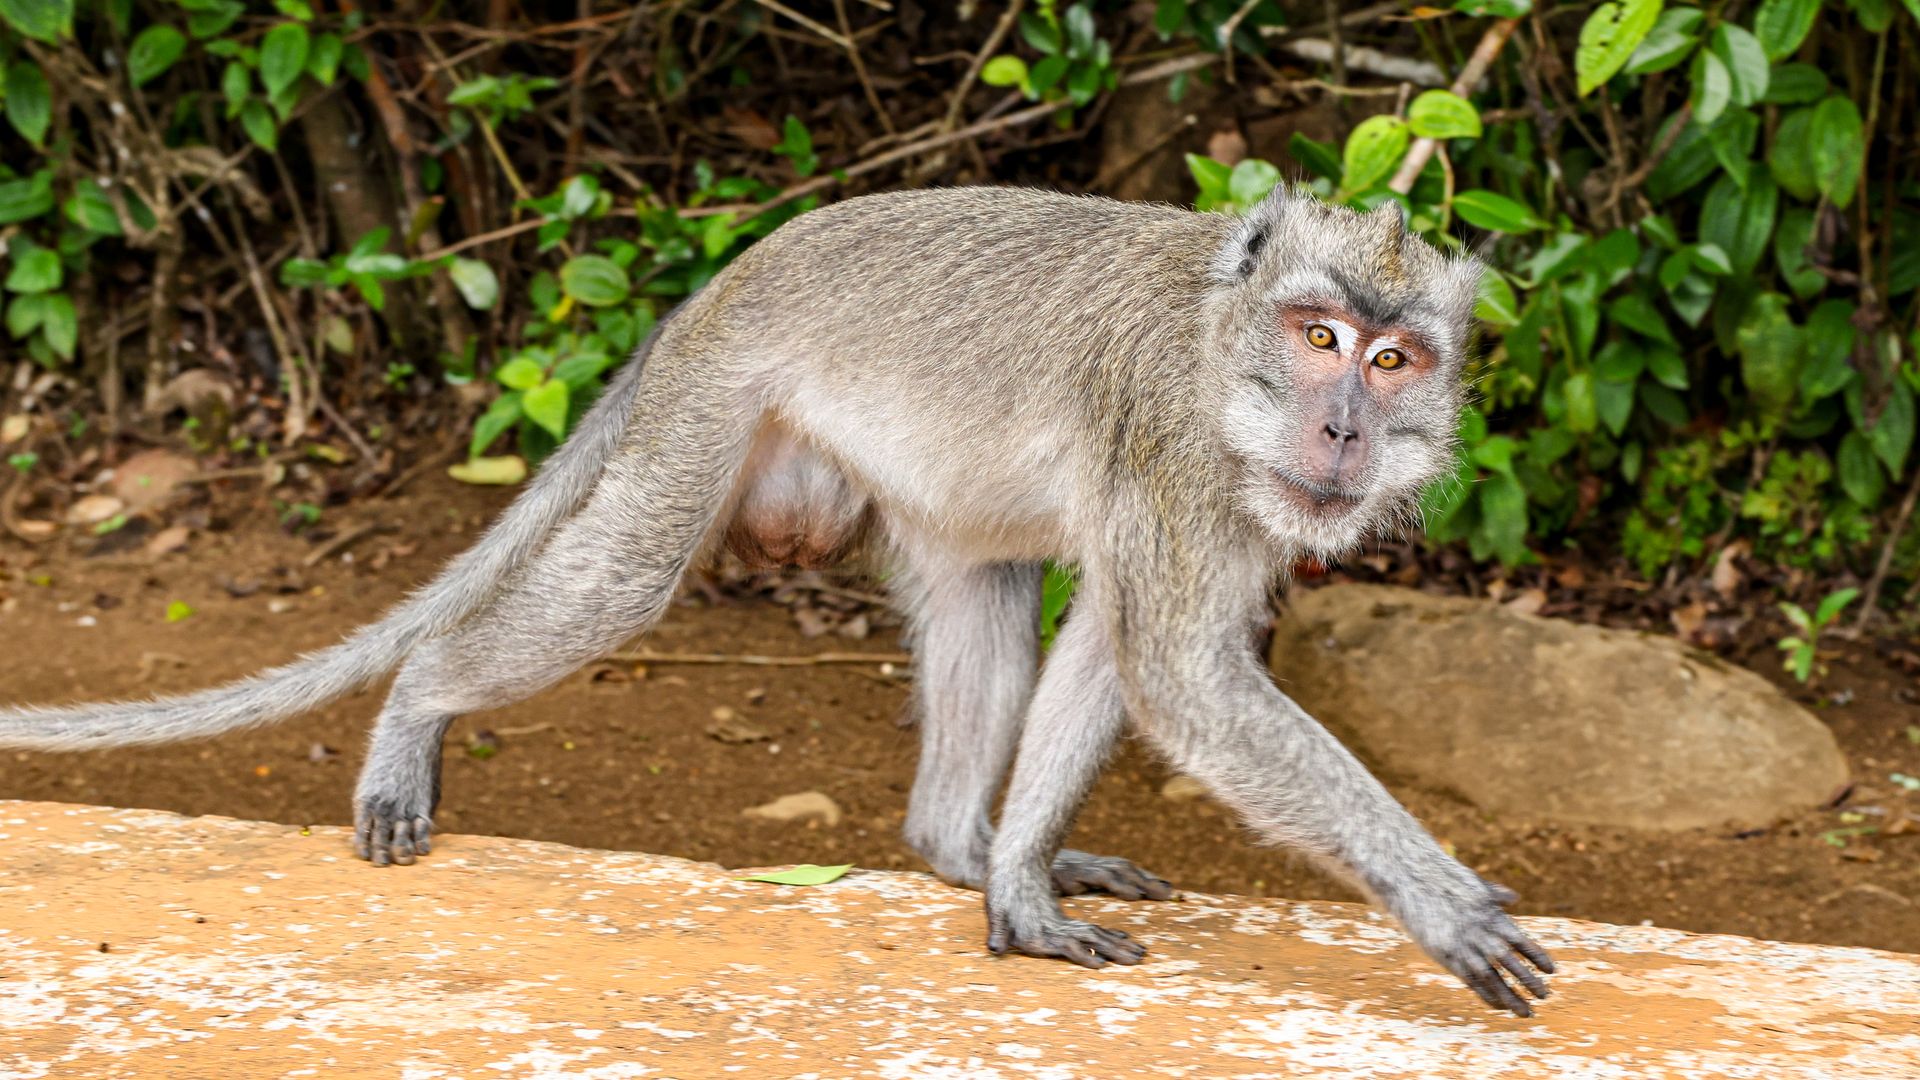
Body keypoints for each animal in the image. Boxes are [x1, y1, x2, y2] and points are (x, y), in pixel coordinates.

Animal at [0, 185, 1553, 1016]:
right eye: (1320, 337)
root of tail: (717, 285)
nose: (1344, 430)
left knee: (988, 594)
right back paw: (418, 706)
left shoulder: (1212, 498)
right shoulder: (1176, 446)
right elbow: (1180, 674)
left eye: (1399, 360)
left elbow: (1132, 650)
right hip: (714, 415)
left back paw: (958, 848)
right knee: (619, 582)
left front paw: (1018, 886)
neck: (1225, 349)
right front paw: (1440, 902)